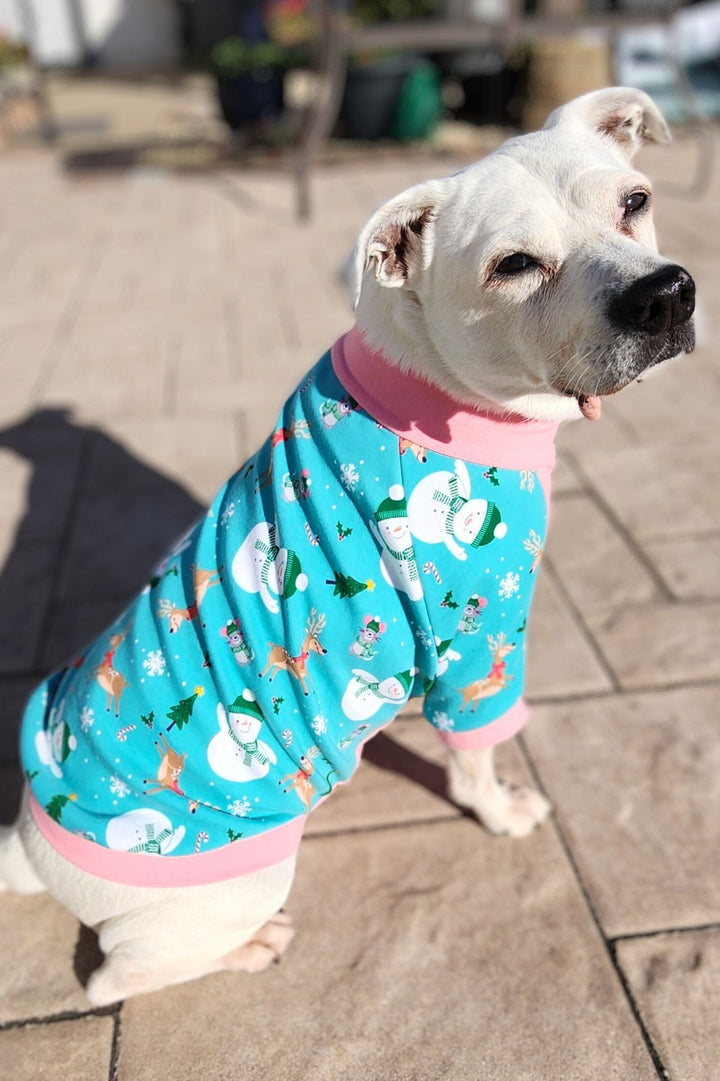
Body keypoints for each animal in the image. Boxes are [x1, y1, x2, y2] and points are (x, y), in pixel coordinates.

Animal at [0, 88, 691, 1007]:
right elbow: (476, 756)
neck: (441, 394)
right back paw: (253, 947)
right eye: (513, 265)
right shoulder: (477, 648)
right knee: (115, 976)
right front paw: (503, 811)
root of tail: (28, 843)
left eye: (635, 201)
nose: (666, 295)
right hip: (240, 877)